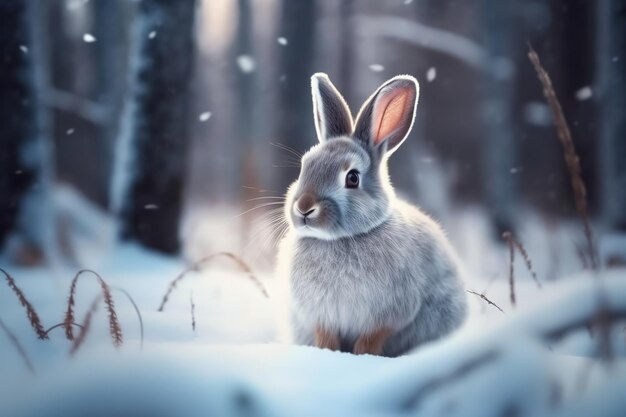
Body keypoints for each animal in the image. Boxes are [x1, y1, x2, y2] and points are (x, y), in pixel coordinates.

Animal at [276, 72, 466, 358]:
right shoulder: (321, 317)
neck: (341, 239)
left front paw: (362, 357)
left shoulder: (387, 317)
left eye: (352, 178)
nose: (304, 207)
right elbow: (326, 337)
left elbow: (370, 340)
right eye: (305, 166)